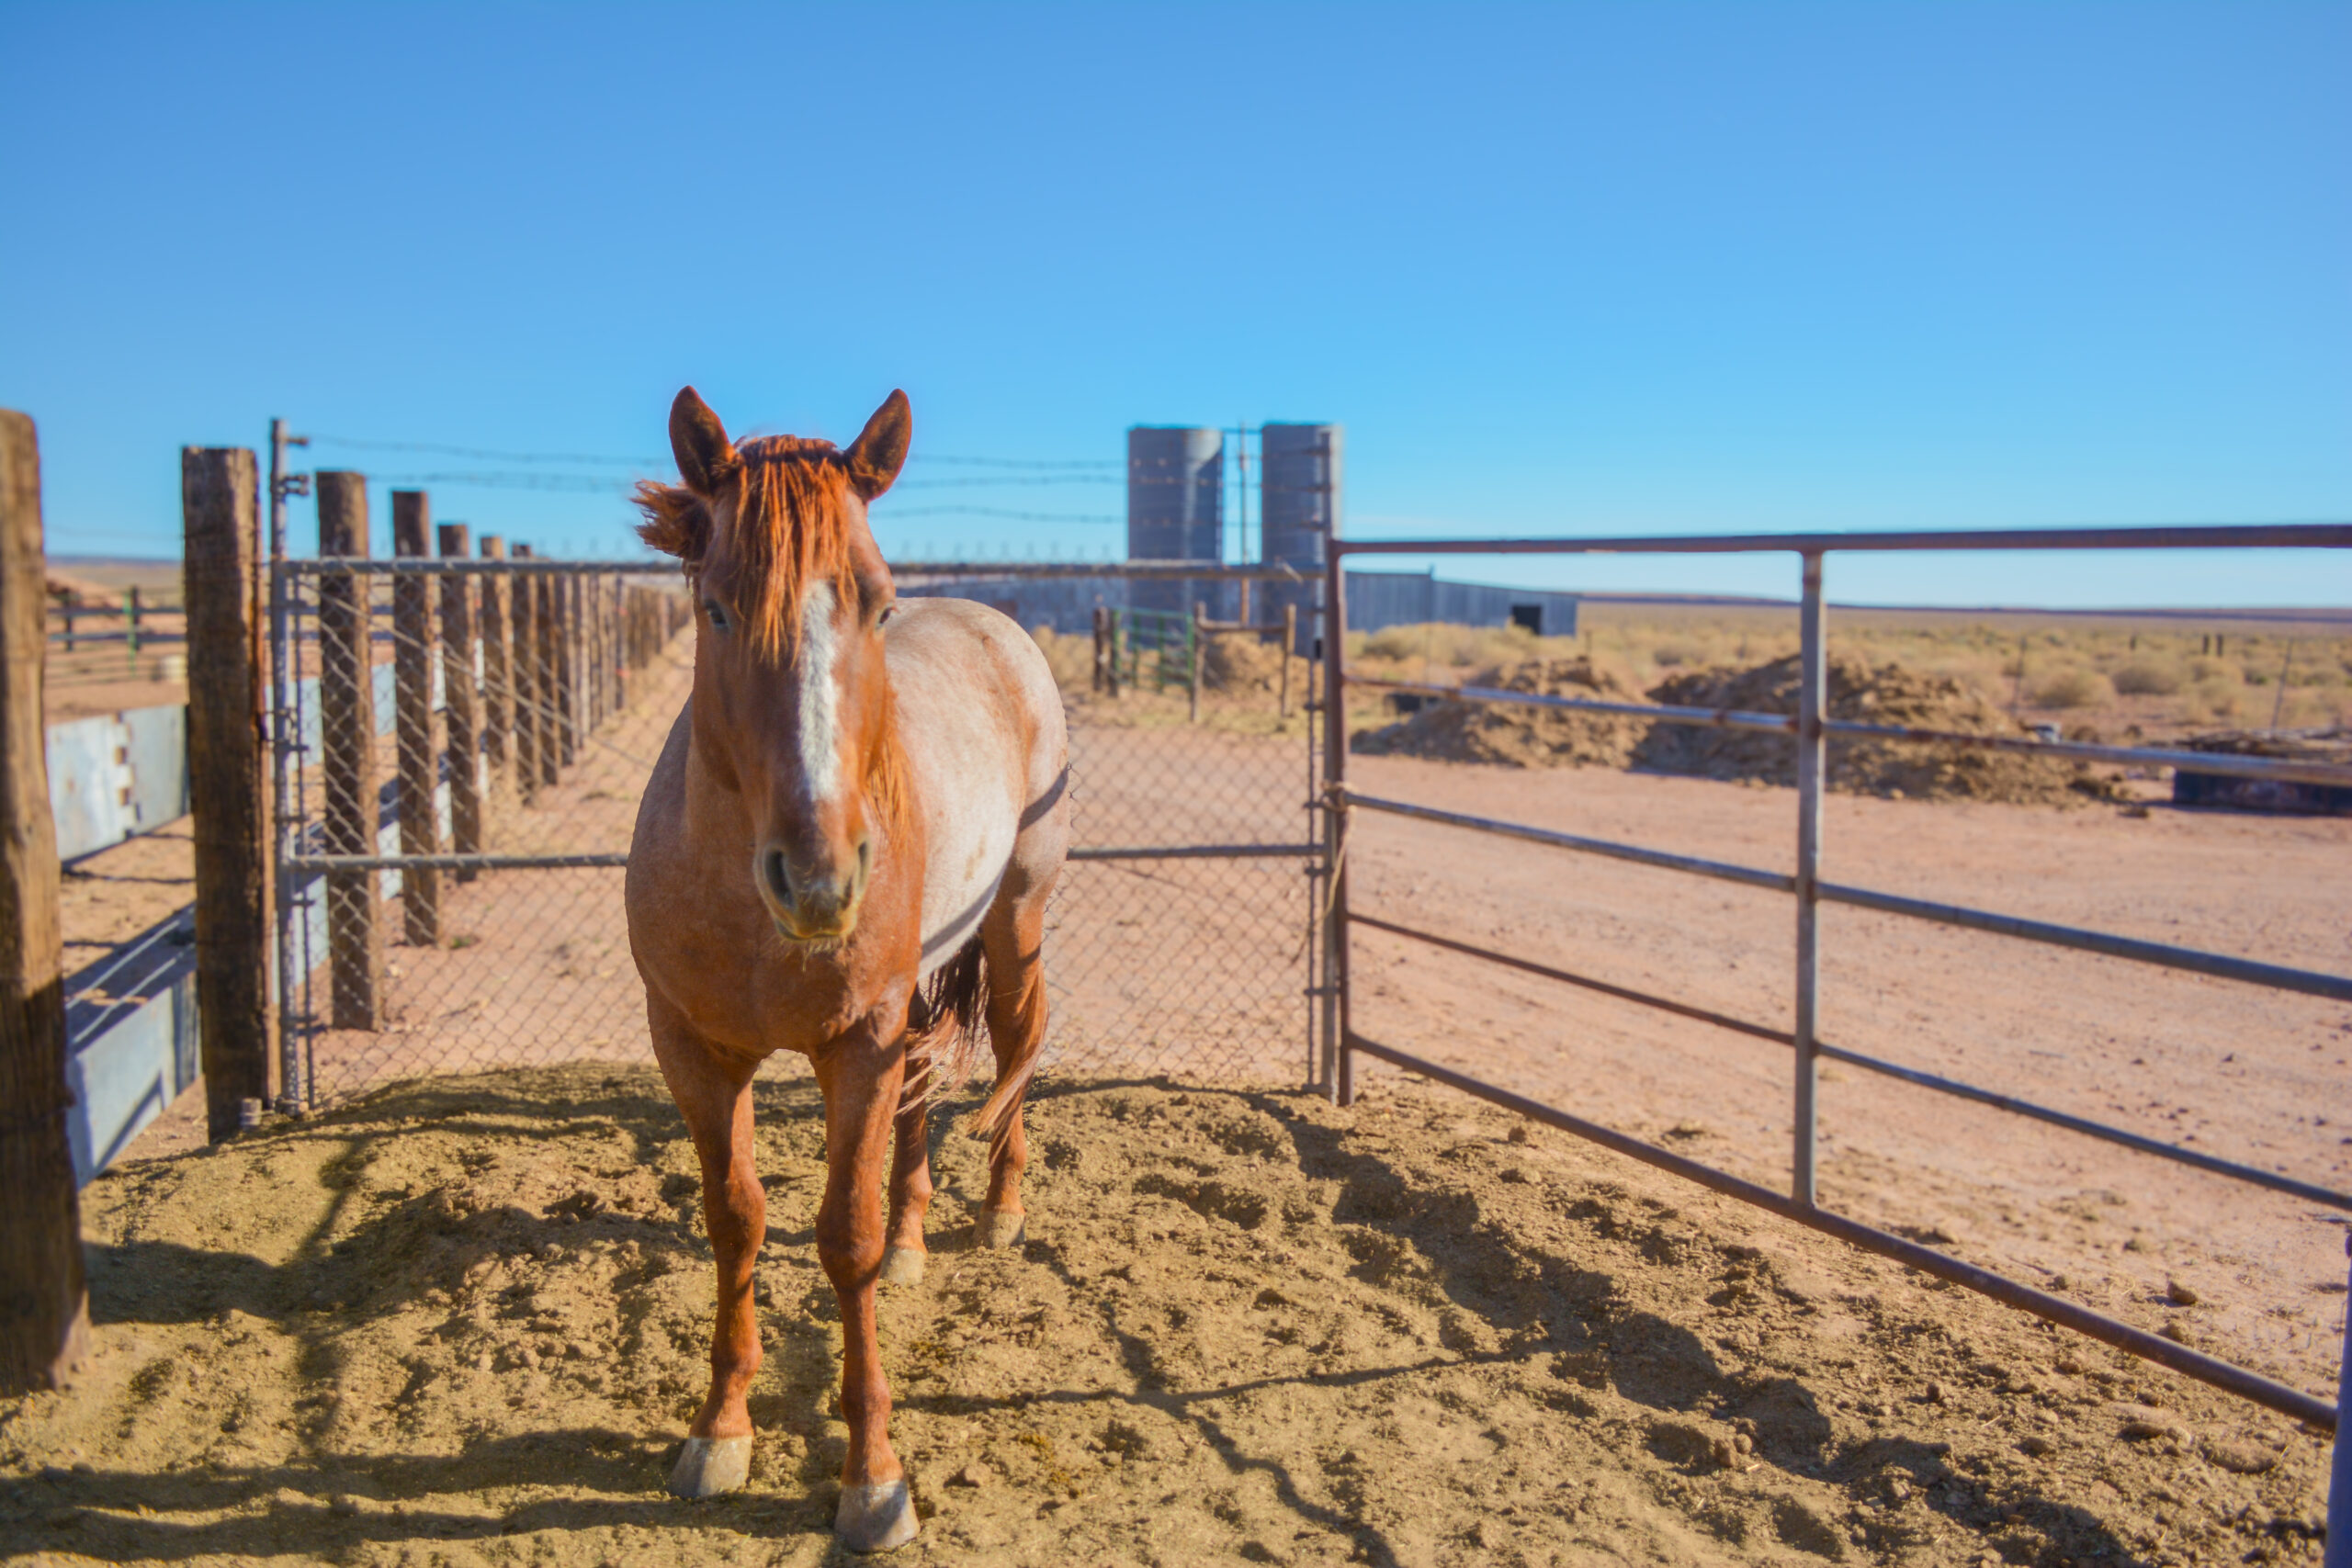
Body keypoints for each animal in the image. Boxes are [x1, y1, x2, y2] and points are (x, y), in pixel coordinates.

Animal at [625, 386, 1069, 1552]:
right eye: (717, 608)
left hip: (1014, 923)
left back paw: (999, 1211)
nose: (820, 875)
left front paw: (873, 1478)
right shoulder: (692, 1053)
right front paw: (719, 1431)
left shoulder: (852, 1046)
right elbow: (736, 1222)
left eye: (875, 604)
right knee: (919, 1092)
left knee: (1015, 1047)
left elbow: (844, 1239)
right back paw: (920, 1235)